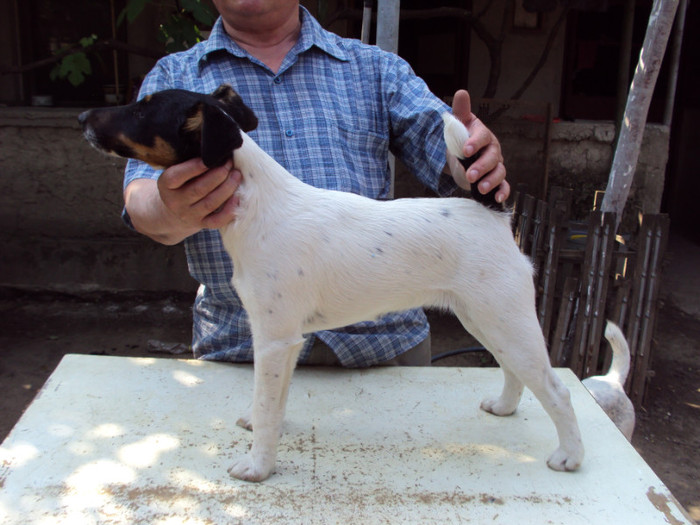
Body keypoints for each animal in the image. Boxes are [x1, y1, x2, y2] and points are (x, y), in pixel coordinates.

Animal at [78, 85, 584, 478]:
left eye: (143, 109)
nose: (82, 116)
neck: (259, 207)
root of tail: (491, 210)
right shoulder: (284, 341)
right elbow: (274, 402)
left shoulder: (274, 337)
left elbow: (267, 406)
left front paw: (257, 467)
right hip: (485, 319)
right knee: (514, 370)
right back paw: (505, 407)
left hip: (504, 318)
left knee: (557, 390)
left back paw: (570, 457)